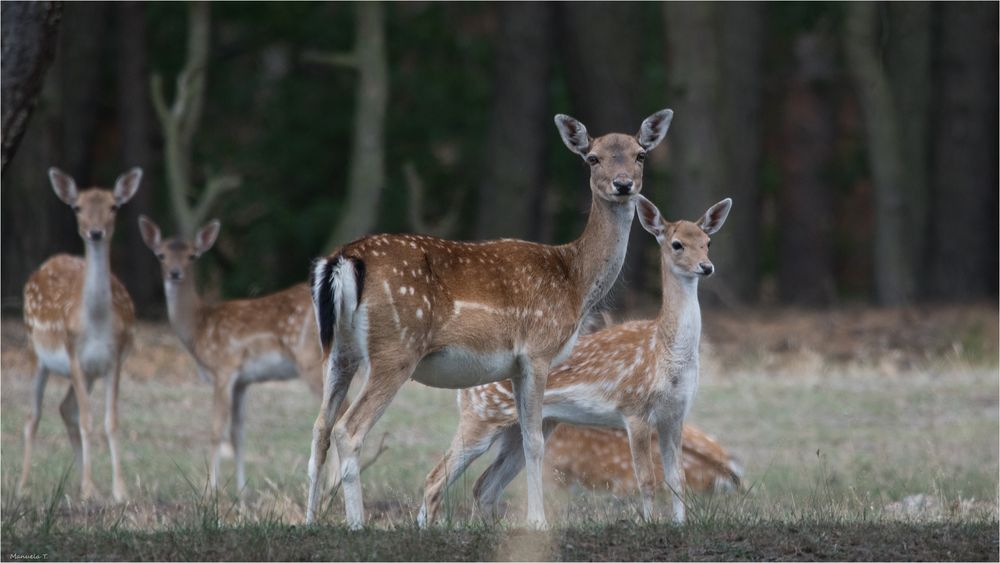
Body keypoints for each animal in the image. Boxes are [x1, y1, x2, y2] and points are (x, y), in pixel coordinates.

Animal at [18, 167, 143, 502]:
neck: (96, 323)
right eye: (77, 207)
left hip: (87, 374)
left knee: (66, 409)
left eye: (114, 206)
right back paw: (23, 486)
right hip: (36, 353)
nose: (95, 232)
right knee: (33, 417)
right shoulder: (73, 353)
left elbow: (110, 422)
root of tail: (47, 262)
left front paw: (118, 490)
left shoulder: (113, 360)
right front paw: (89, 488)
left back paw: (87, 483)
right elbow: (88, 421)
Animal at [137, 218, 328, 492]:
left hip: (309, 359)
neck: (198, 327)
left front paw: (211, 490)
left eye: (192, 256)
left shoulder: (223, 369)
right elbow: (238, 434)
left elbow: (217, 431)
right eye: (161, 255)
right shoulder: (242, 381)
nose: (175, 273)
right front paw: (242, 491)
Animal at [308, 109, 676, 528]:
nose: (623, 184)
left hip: (338, 350)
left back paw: (310, 520)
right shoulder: (538, 350)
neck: (575, 282)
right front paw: (538, 521)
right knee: (348, 429)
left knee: (320, 427)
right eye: (593, 157)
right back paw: (357, 522)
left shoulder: (515, 366)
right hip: (395, 349)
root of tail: (343, 260)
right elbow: (534, 441)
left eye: (640, 154)